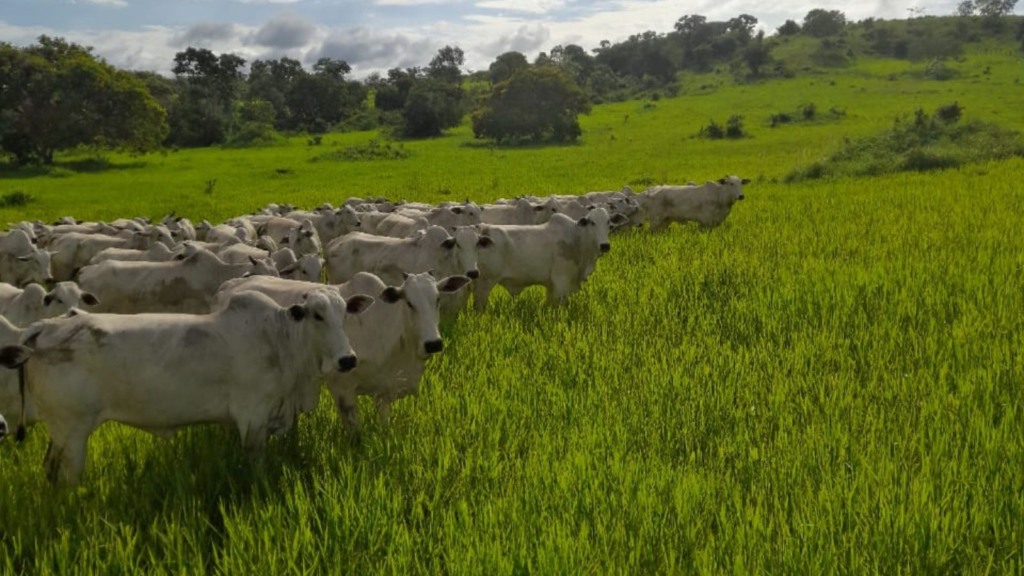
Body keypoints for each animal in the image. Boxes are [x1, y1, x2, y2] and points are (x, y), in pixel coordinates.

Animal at [0, 289, 374, 481]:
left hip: (61, 432)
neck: (281, 339)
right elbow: (255, 465)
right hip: (72, 431)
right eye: (317, 315)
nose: (347, 359)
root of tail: (41, 330)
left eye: (345, 314)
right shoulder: (252, 419)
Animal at [219, 270, 471, 428]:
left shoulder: (385, 392)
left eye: (437, 299)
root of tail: (227, 286)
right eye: (409, 303)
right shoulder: (343, 388)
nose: (433, 343)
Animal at [471, 203, 622, 307]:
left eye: (608, 221)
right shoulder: (561, 281)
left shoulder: (552, 286)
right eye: (592, 222)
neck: (577, 237)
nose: (604, 245)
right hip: (484, 284)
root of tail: (480, 231)